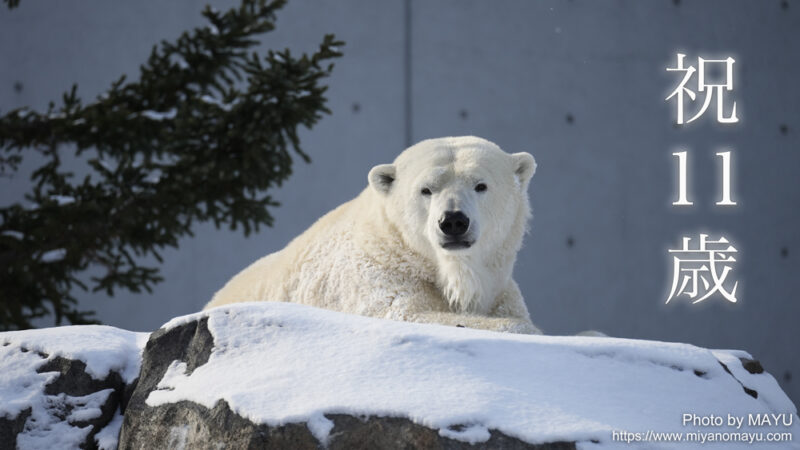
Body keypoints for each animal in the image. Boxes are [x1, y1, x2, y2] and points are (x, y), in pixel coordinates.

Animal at [204, 136, 541, 334]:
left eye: (481, 185)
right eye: (426, 189)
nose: (454, 221)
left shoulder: (499, 288)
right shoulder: (382, 277)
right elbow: (409, 314)